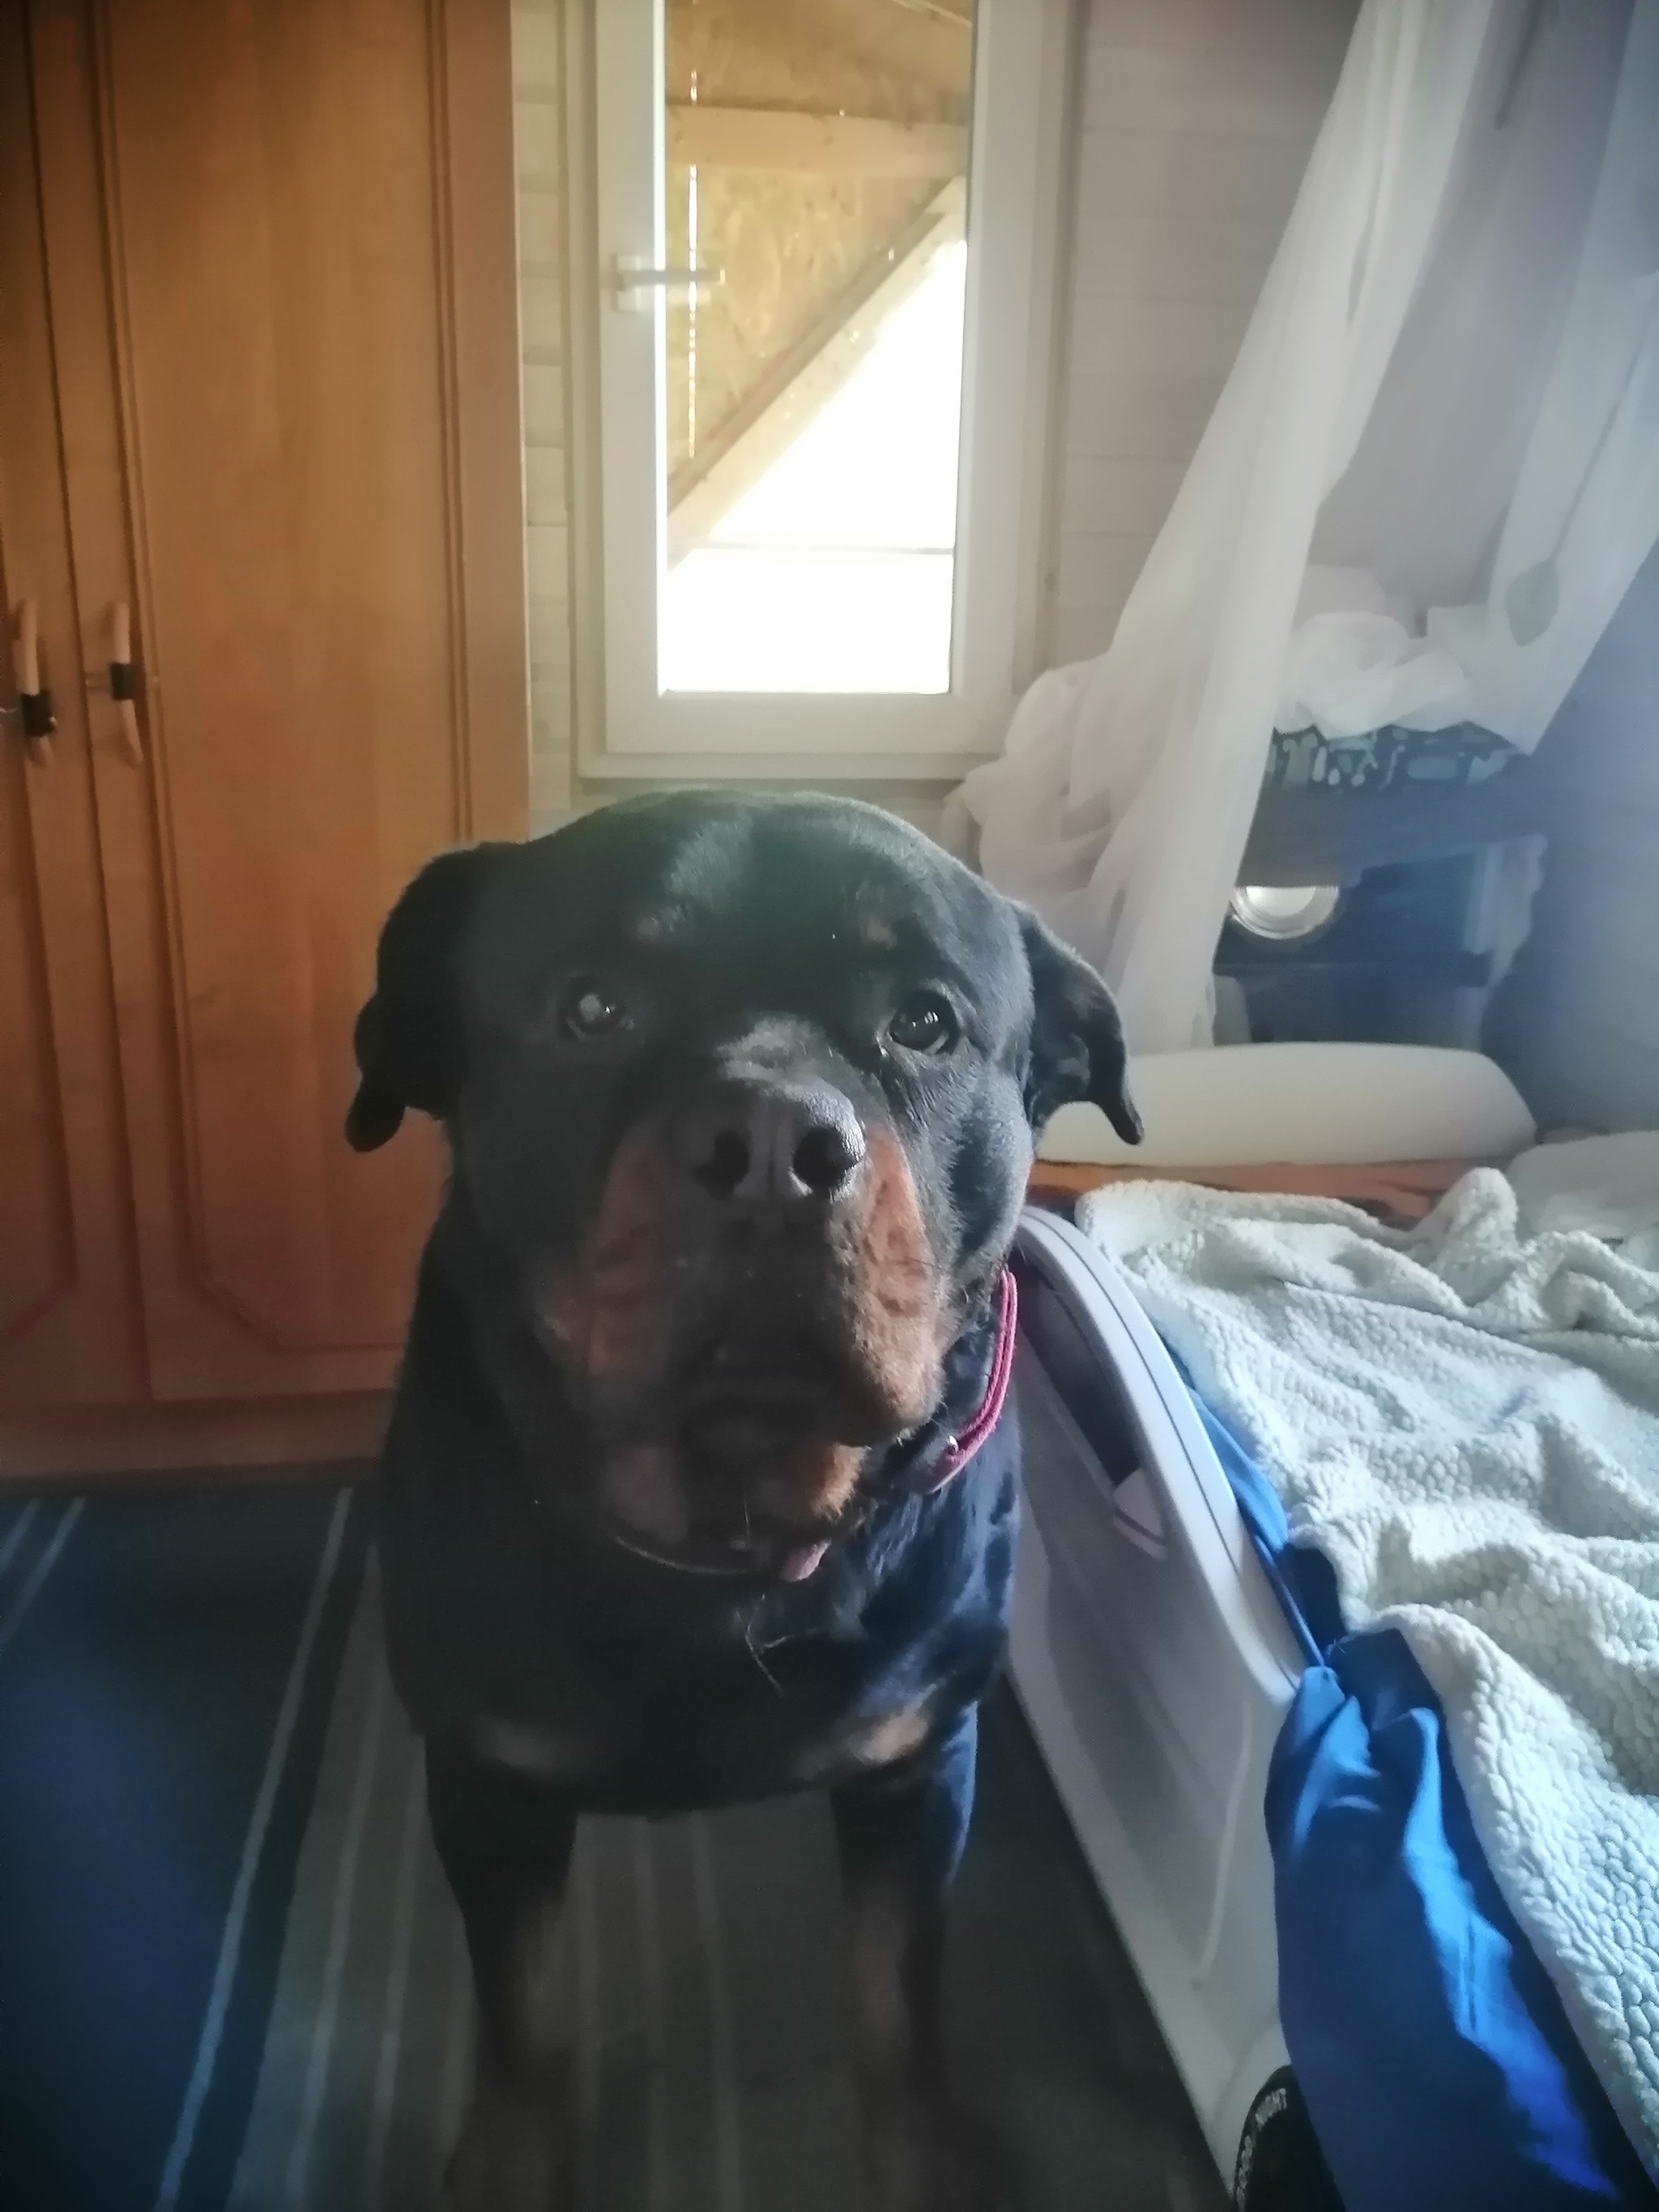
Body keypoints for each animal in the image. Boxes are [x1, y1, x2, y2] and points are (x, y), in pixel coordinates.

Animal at [347, 791, 1140, 2211]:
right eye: (593, 1007)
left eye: (924, 1020)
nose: (774, 1145)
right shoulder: (485, 1780)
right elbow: (520, 2009)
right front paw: (511, 2154)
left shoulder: (919, 1765)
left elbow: (898, 1999)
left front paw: (920, 2154)